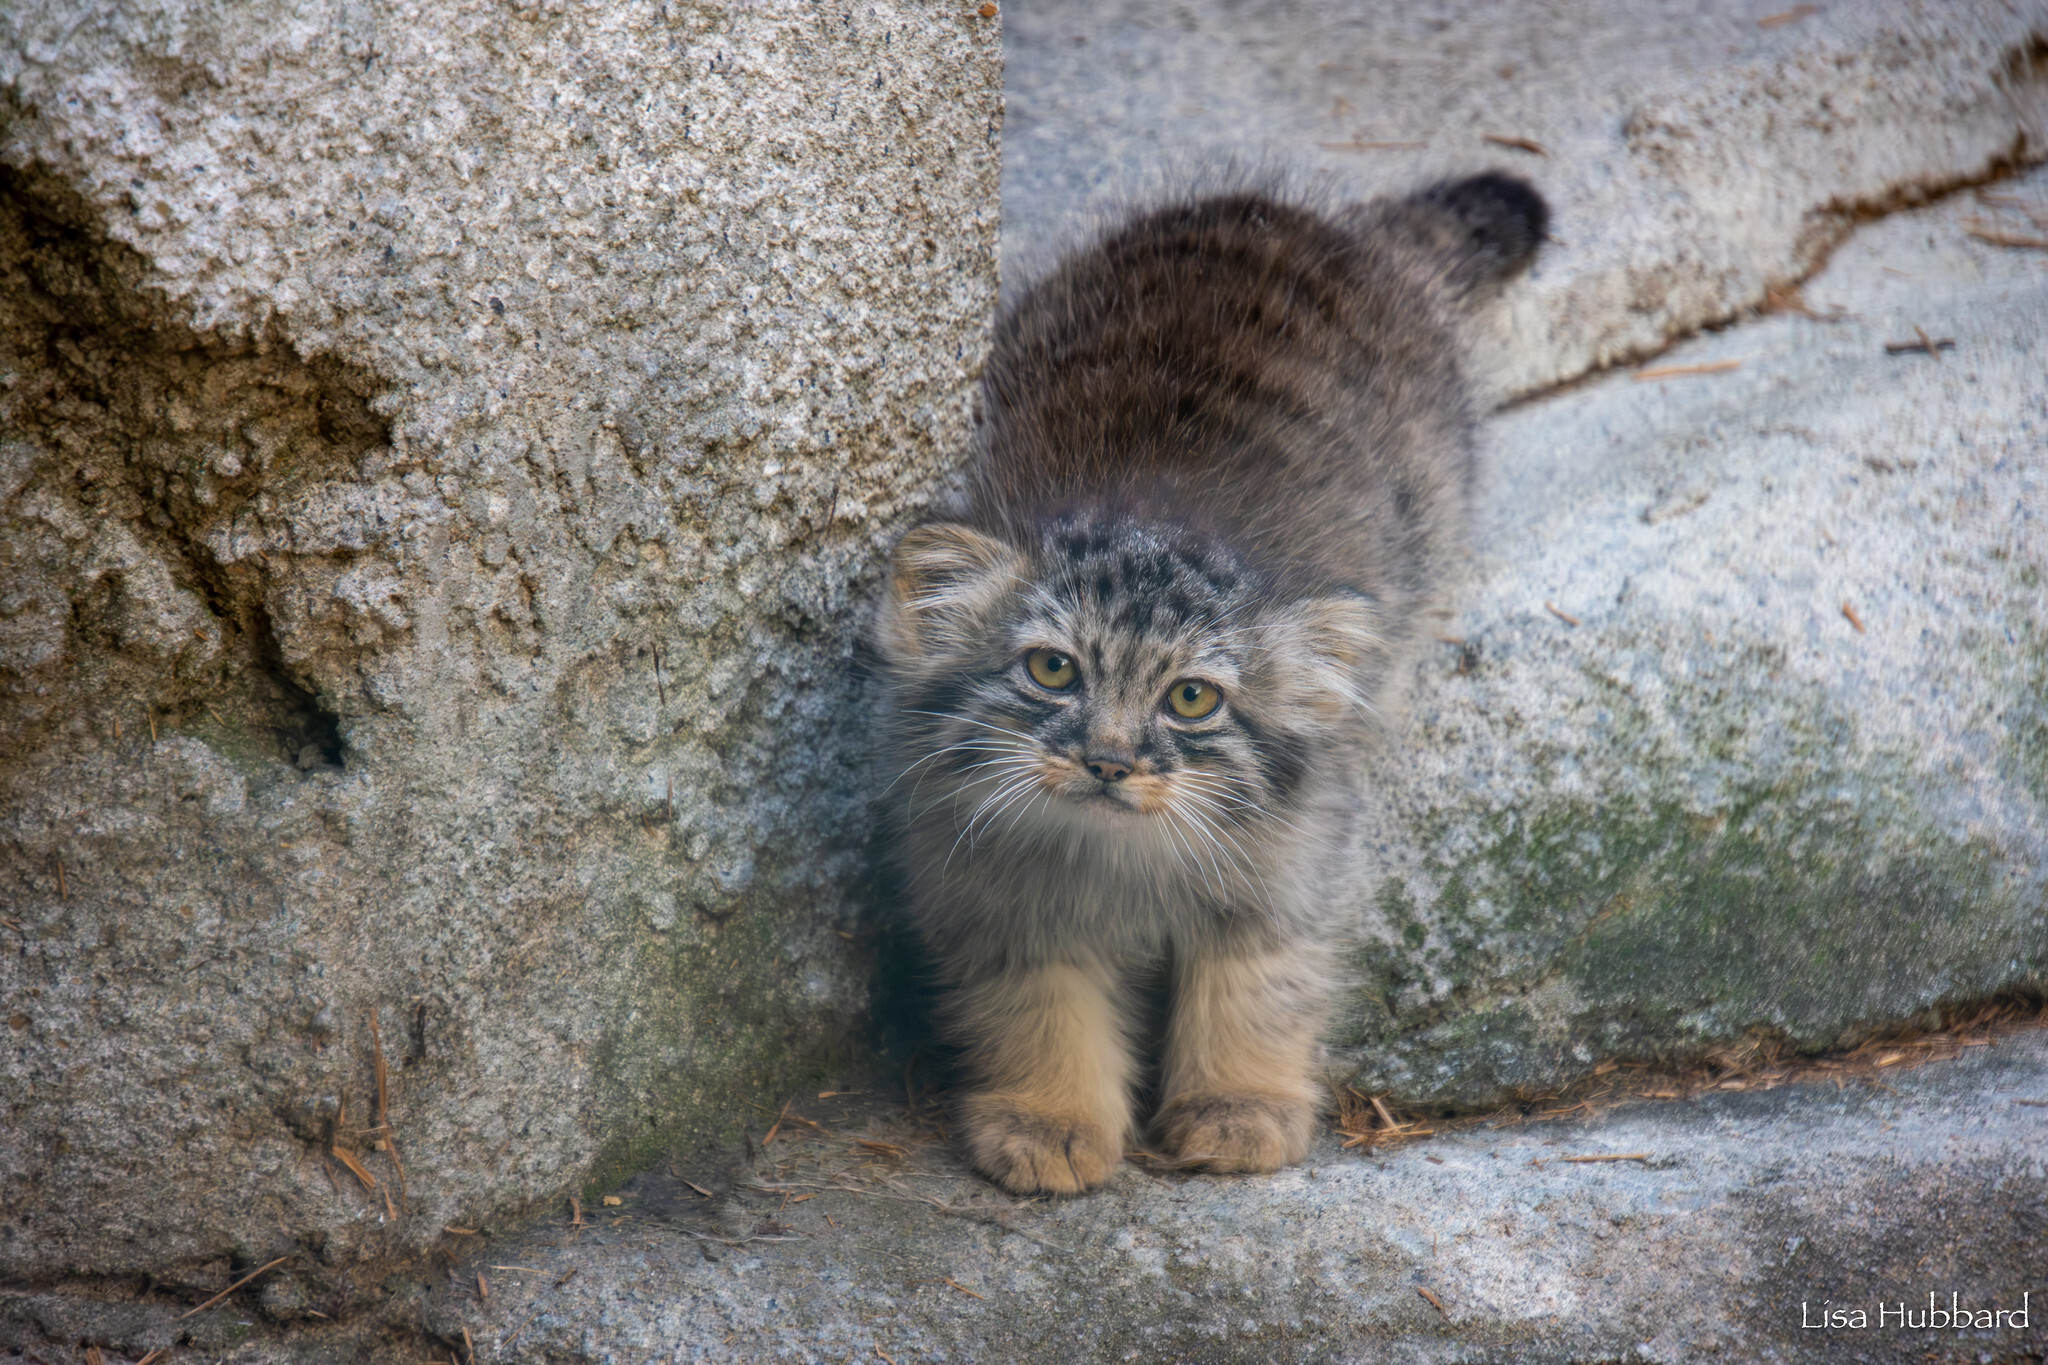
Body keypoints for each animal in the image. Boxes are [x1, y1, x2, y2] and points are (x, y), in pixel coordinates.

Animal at [872, 173, 1540, 1195]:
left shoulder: (1291, 869)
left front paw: (1238, 1106)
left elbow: (1258, 990)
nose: (1110, 761)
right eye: (1052, 669)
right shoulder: (995, 895)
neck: (1120, 860)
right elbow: (1040, 1011)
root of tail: (1322, 224)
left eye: (1192, 698)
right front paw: (1049, 1118)